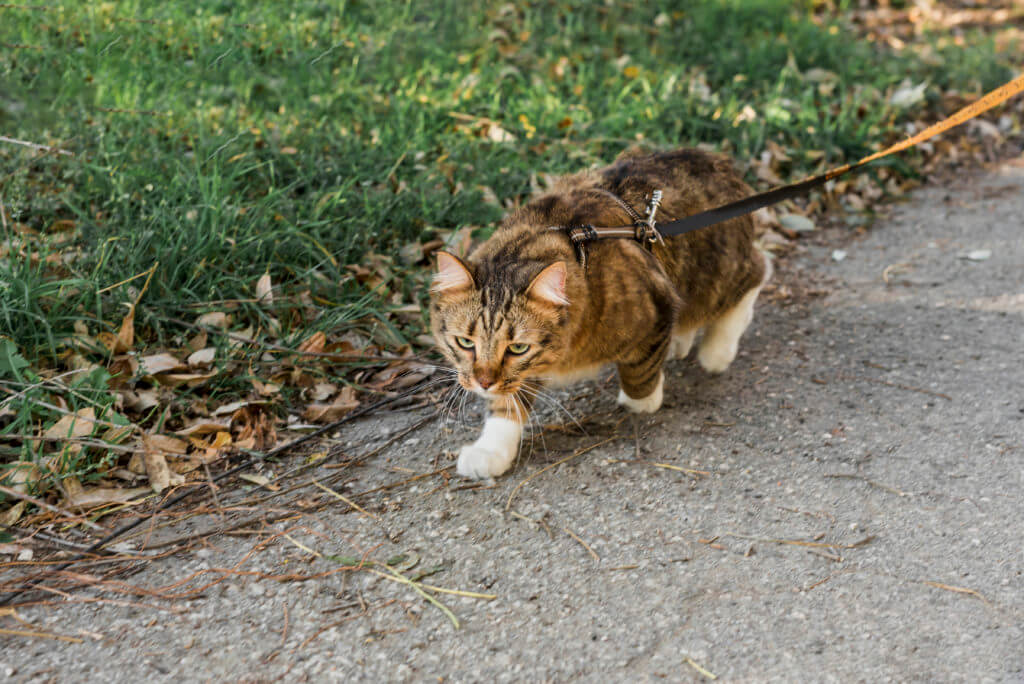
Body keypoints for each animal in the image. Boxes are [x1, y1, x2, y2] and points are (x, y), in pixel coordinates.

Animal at [428, 148, 770, 481]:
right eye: (464, 343)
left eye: (517, 348)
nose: (482, 383)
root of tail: (719, 162)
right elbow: (506, 404)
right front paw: (491, 449)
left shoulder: (656, 302)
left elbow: (640, 374)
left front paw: (643, 400)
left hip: (715, 277)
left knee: (758, 270)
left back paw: (718, 348)